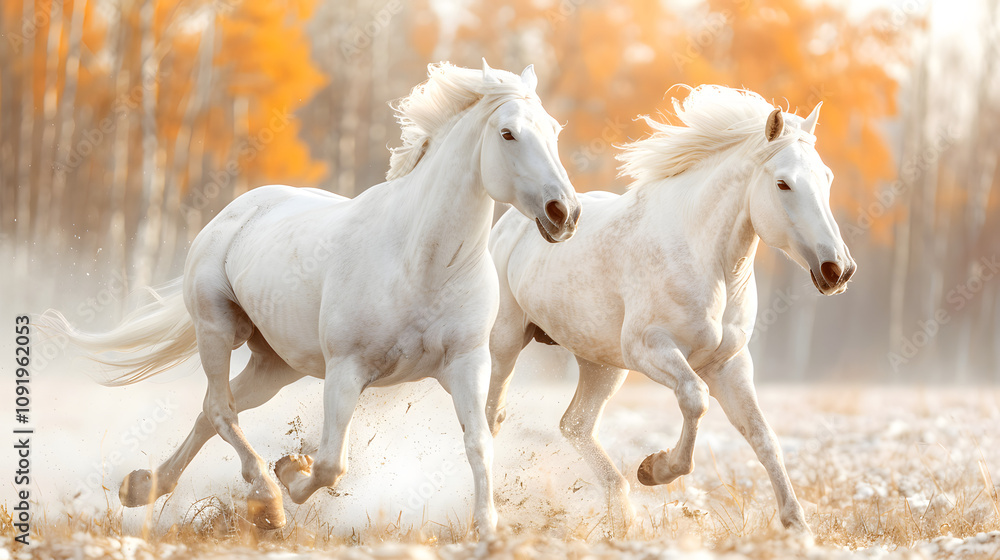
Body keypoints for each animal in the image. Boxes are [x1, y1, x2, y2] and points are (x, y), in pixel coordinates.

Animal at [45, 60, 581, 535]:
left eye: (555, 130)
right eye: (508, 133)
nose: (565, 213)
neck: (421, 263)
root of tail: (234, 213)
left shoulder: (468, 365)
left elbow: (480, 444)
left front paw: (487, 528)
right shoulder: (347, 370)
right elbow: (329, 465)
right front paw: (288, 473)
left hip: (276, 365)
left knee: (213, 409)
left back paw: (144, 487)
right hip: (218, 330)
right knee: (220, 408)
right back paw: (265, 501)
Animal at [484, 85, 856, 535]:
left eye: (828, 178)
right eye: (784, 183)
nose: (837, 269)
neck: (709, 263)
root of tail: (513, 223)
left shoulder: (728, 363)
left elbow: (762, 435)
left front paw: (796, 525)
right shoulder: (651, 350)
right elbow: (695, 399)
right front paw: (656, 469)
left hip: (602, 364)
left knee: (574, 424)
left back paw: (623, 515)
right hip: (506, 342)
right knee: (492, 415)